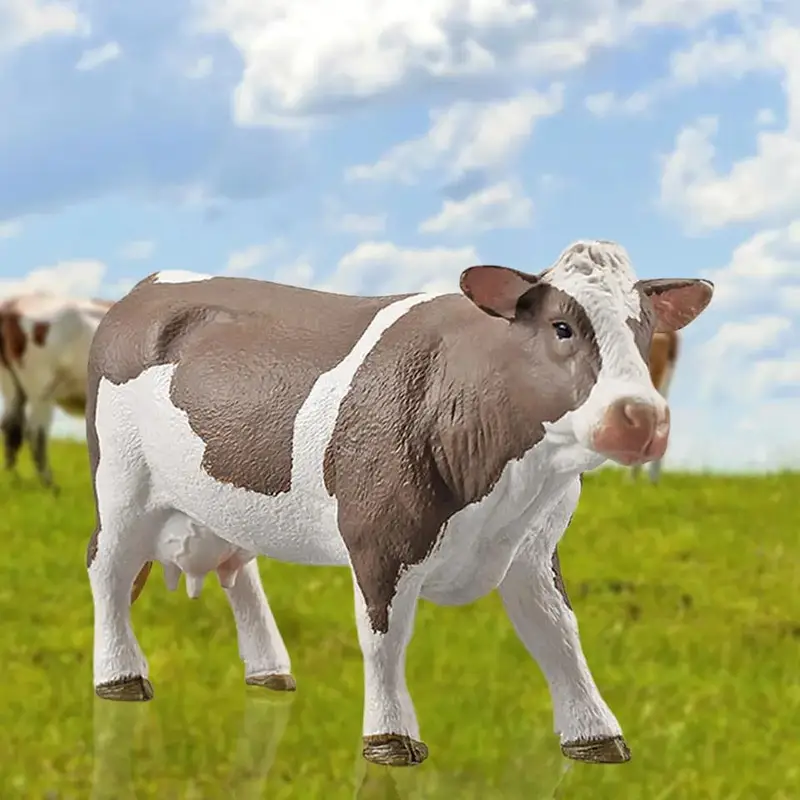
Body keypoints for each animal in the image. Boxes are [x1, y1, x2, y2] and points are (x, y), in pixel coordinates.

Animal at [0, 293, 114, 488]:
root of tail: (15, 303)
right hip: (41, 388)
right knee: (36, 433)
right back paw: (49, 485)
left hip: (11, 385)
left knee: (11, 427)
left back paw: (13, 479)